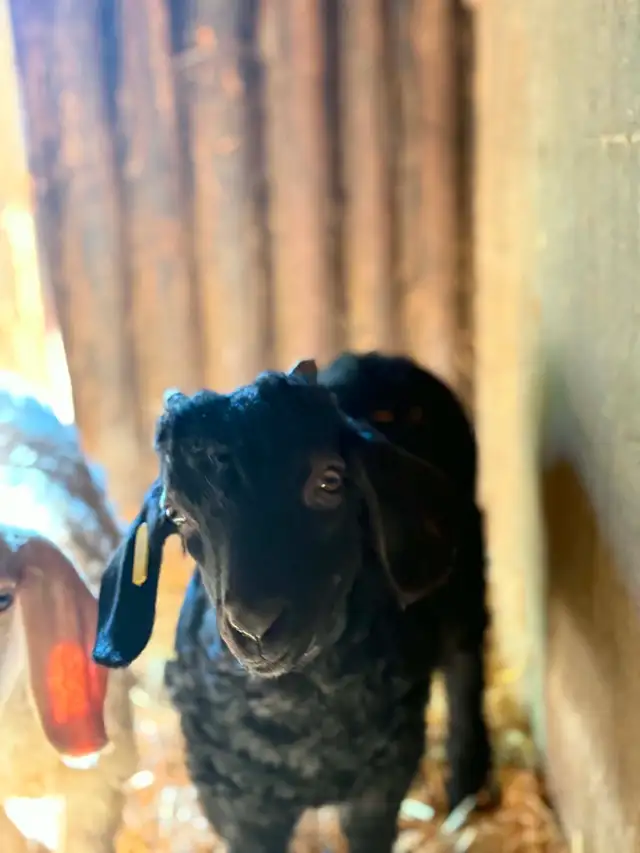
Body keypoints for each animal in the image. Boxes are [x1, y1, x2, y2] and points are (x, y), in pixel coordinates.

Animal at [93, 351, 491, 853]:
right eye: (177, 515)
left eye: (329, 482)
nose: (254, 625)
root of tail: (378, 359)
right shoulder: (232, 798)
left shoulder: (384, 774)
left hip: (465, 569)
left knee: (466, 661)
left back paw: (467, 781)